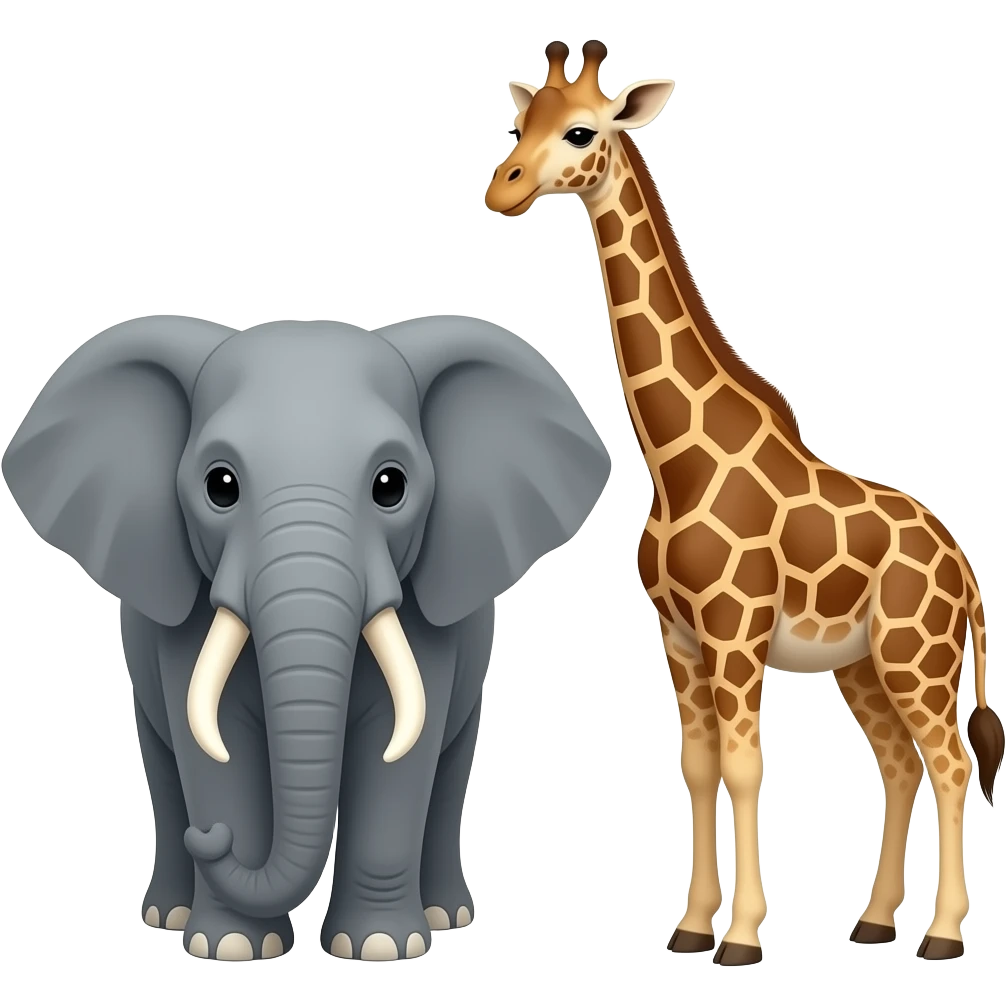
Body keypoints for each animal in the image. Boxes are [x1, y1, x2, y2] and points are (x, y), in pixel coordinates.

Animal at [1, 314, 611, 962]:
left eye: (391, 485)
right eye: (220, 485)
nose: (211, 837)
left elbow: (398, 754)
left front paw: (378, 946)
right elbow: (215, 747)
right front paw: (232, 946)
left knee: (448, 772)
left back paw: (447, 916)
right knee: (164, 766)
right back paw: (169, 914)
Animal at [483, 39, 1004, 965]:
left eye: (582, 129)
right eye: (522, 119)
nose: (501, 188)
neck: (675, 464)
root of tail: (964, 568)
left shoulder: (735, 633)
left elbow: (743, 766)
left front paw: (743, 936)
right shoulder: (679, 636)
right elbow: (696, 768)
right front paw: (692, 925)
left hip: (918, 656)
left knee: (948, 762)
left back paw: (942, 935)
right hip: (861, 664)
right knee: (901, 762)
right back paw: (874, 921)